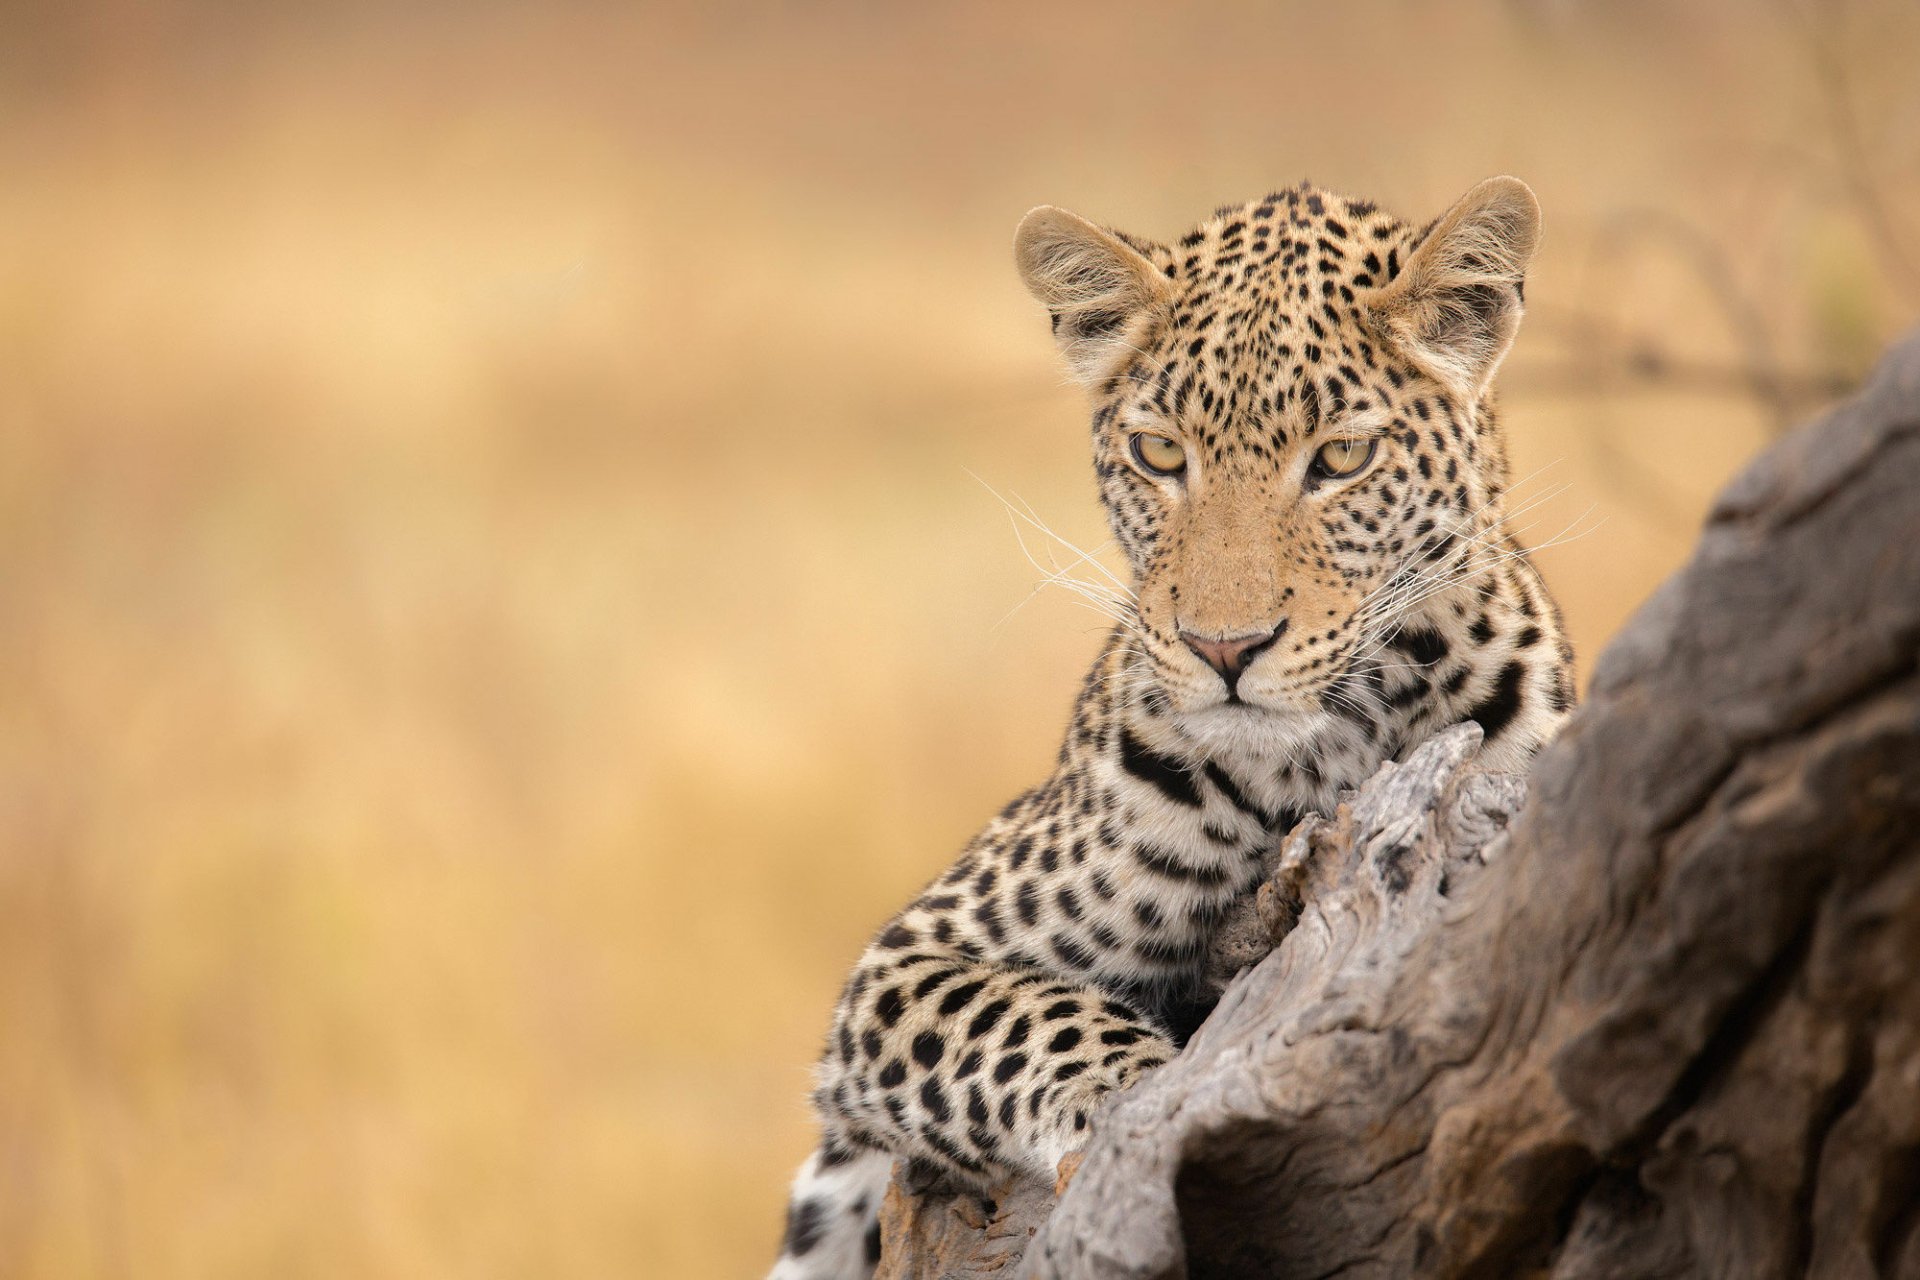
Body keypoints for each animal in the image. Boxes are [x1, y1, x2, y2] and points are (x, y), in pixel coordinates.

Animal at [767, 176, 1576, 1279]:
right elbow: (1028, 1017)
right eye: (1160, 452)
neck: (1331, 757)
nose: (1224, 648)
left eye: (1342, 457)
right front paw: (1127, 1118)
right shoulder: (909, 960)